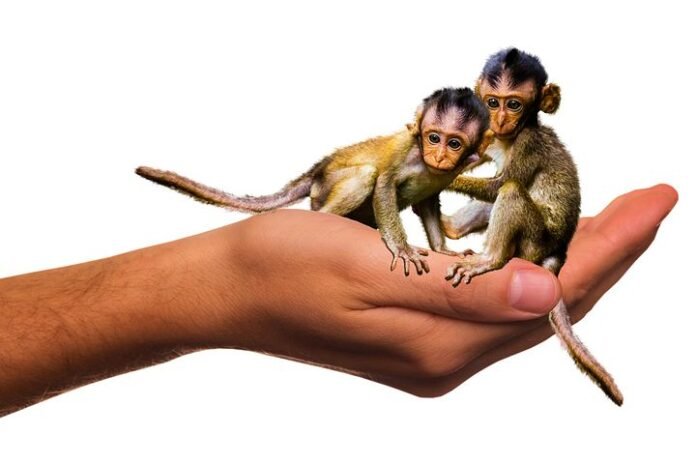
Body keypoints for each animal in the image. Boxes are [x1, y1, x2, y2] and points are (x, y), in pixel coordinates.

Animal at [136, 87, 491, 277]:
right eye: (433, 137)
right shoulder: (407, 151)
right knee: (364, 176)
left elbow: (427, 203)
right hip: (326, 187)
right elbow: (384, 185)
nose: (439, 156)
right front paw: (403, 249)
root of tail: (318, 170)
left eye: (454, 143)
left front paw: (443, 249)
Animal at [440, 48, 623, 406]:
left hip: (534, 243)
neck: (511, 136)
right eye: (492, 102)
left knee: (511, 190)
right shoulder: (491, 138)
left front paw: (443, 176)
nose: (500, 120)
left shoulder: (528, 142)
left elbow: (499, 186)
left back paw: (489, 260)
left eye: (514, 104)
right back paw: (450, 229)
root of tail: (559, 252)